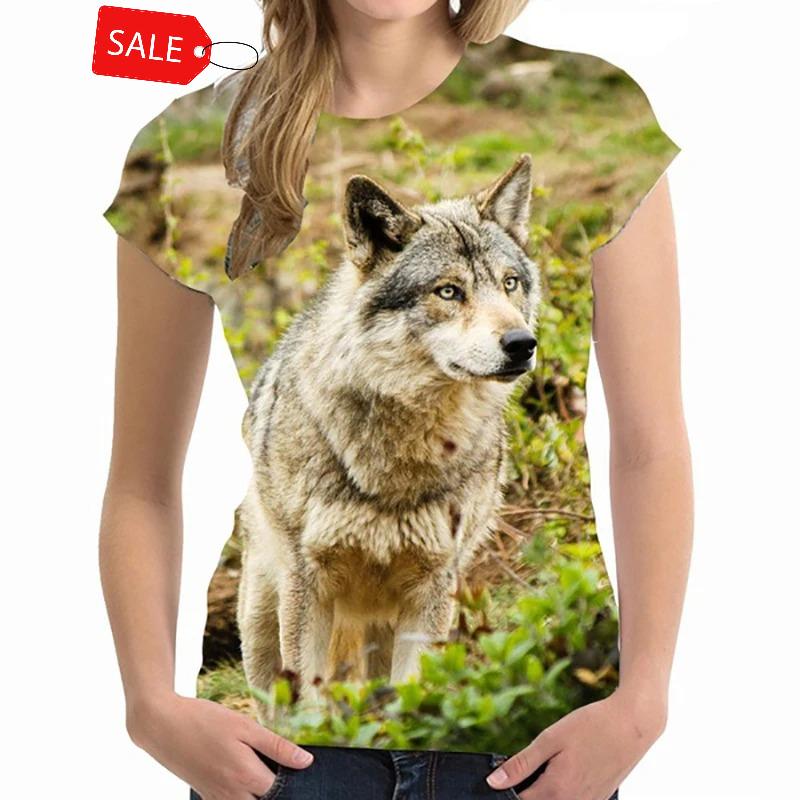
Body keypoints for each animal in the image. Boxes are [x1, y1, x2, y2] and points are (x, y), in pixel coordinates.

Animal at [236, 154, 541, 714]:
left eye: (509, 283)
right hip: (263, 622)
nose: (522, 343)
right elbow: (312, 707)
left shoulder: (433, 586)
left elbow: (412, 696)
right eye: (449, 291)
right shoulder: (309, 584)